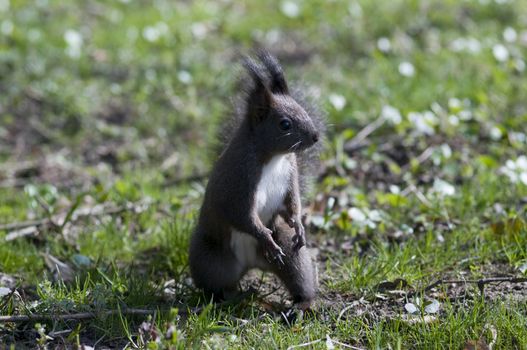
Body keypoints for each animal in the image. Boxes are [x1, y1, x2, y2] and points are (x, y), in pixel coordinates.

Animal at [188, 50, 324, 310]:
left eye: (302, 109)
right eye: (284, 124)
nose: (315, 137)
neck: (273, 158)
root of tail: (251, 263)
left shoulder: (290, 175)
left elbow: (292, 203)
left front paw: (298, 224)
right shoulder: (239, 183)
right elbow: (242, 216)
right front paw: (265, 237)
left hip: (292, 255)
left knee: (298, 274)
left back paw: (301, 304)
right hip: (210, 260)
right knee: (218, 285)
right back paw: (228, 297)